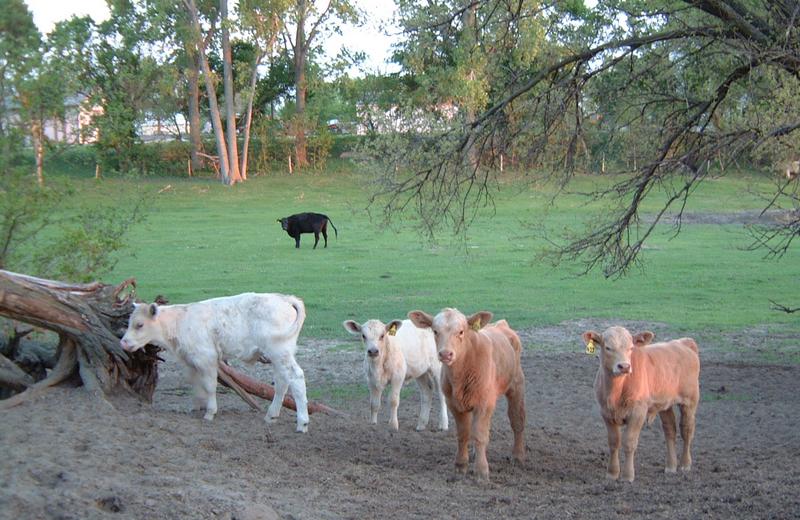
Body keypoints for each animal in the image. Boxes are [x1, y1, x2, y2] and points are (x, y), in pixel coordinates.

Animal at [120, 292, 311, 433]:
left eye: (139, 324)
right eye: (129, 323)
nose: (124, 343)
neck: (179, 321)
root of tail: (284, 298)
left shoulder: (207, 359)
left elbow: (209, 386)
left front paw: (210, 412)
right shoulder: (191, 361)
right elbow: (196, 384)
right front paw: (196, 407)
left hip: (280, 351)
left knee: (296, 377)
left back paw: (302, 423)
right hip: (279, 356)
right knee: (282, 382)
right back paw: (271, 416)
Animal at [408, 309, 525, 481]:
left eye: (461, 331)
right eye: (435, 331)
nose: (446, 354)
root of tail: (501, 325)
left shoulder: (484, 403)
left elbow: (480, 435)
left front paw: (481, 471)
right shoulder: (454, 403)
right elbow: (463, 434)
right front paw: (460, 466)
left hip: (516, 385)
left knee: (517, 420)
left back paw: (518, 456)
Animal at [582, 326, 700, 482]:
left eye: (631, 348)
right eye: (608, 347)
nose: (624, 366)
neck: (617, 390)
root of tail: (684, 342)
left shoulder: (638, 412)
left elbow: (629, 442)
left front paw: (627, 476)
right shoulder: (606, 413)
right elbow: (613, 442)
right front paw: (612, 473)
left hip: (690, 401)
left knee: (687, 430)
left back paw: (685, 464)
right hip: (665, 403)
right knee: (670, 430)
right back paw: (670, 466)